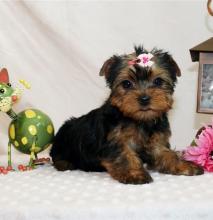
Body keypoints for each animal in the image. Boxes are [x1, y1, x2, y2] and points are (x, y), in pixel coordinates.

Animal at [49, 46, 203, 184]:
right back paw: (65, 163)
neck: (140, 120)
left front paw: (183, 165)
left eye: (158, 81)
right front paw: (134, 174)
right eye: (127, 84)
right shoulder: (115, 140)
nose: (144, 99)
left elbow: (166, 153)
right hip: (64, 139)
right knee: (57, 156)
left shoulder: (157, 141)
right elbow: (124, 155)